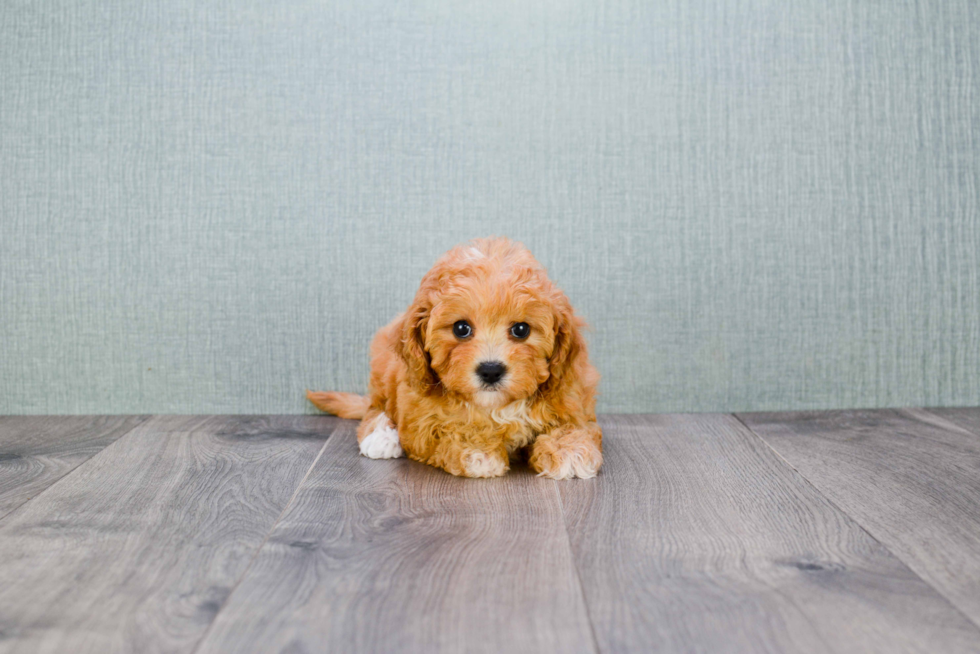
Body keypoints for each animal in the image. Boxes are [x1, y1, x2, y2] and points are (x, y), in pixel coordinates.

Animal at [306, 238, 600, 480]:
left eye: (521, 329)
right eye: (461, 328)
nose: (491, 370)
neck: (495, 407)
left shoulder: (571, 396)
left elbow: (575, 425)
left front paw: (569, 450)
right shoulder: (419, 421)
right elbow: (448, 430)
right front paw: (477, 450)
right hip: (384, 368)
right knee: (375, 407)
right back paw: (380, 436)